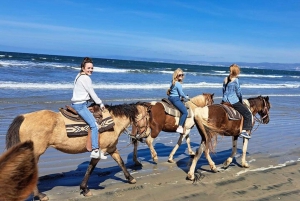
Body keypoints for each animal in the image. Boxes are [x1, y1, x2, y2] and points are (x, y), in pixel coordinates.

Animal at [5, 103, 148, 200]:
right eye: (148, 118)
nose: (144, 137)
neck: (113, 121)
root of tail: (24, 117)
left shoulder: (112, 148)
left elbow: (120, 162)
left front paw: (130, 179)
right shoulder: (101, 150)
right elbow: (91, 167)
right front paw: (85, 189)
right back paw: (40, 195)